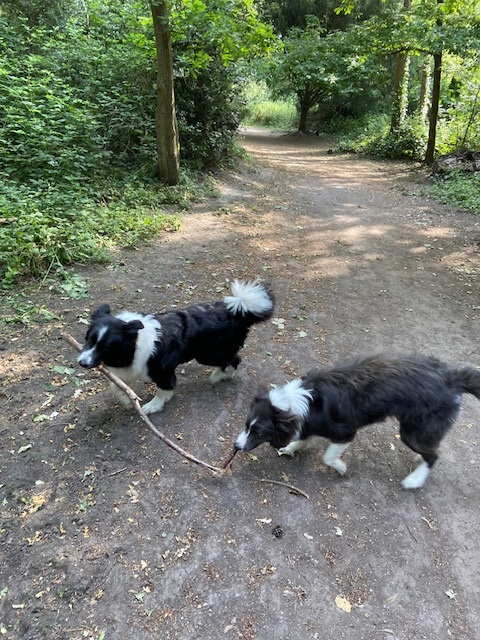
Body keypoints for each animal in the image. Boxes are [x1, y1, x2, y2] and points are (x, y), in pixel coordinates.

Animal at [78, 280, 274, 416]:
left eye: (105, 347)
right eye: (88, 339)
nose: (81, 363)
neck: (134, 341)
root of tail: (238, 310)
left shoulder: (162, 370)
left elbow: (163, 389)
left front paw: (153, 406)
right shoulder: (130, 368)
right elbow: (116, 386)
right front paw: (127, 400)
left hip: (208, 353)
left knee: (234, 359)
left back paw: (219, 376)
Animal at [234, 352, 478, 488]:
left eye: (258, 432)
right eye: (246, 426)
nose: (235, 446)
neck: (303, 401)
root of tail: (452, 377)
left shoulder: (344, 433)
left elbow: (327, 457)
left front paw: (341, 467)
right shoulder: (307, 422)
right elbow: (303, 438)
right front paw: (291, 448)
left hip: (412, 431)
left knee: (434, 455)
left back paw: (414, 481)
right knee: (431, 451)